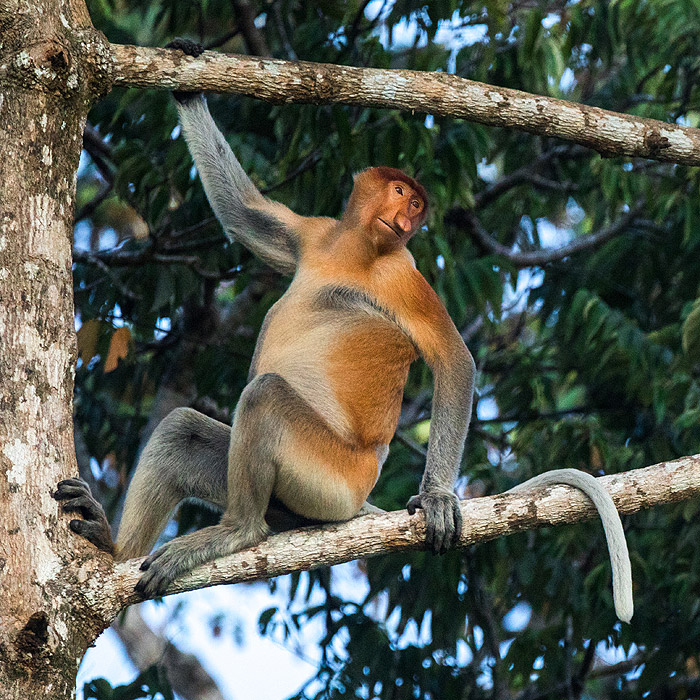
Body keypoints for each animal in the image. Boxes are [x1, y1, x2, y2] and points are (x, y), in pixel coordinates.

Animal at [54, 39, 632, 624]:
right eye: (400, 191)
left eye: (417, 203)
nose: (406, 218)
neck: (356, 251)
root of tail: (357, 498)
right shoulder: (315, 233)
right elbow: (245, 216)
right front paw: (188, 71)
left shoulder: (402, 272)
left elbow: (453, 357)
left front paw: (437, 499)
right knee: (182, 430)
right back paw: (114, 547)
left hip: (329, 481)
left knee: (264, 398)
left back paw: (237, 532)